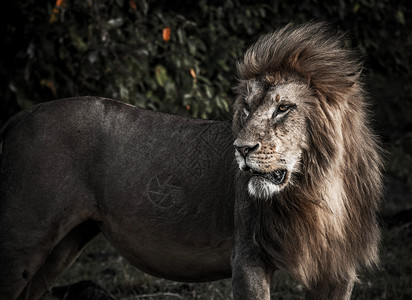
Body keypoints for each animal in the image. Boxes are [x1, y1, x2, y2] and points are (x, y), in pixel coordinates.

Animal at [0, 22, 384, 298]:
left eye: (283, 108)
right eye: (247, 108)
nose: (241, 148)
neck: (317, 188)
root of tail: (19, 117)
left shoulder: (338, 270)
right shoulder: (247, 258)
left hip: (64, 245)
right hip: (23, 240)